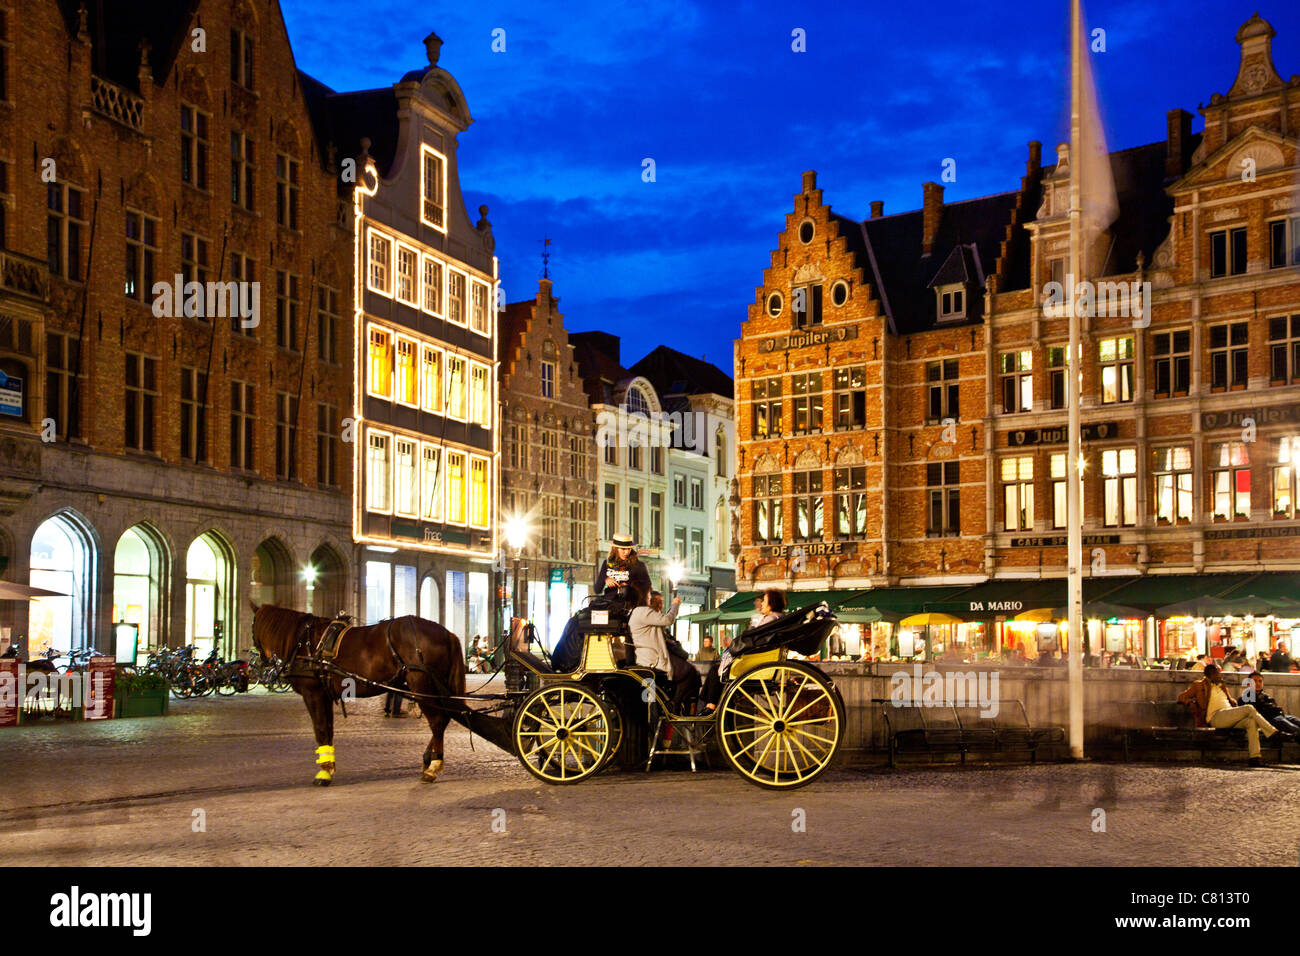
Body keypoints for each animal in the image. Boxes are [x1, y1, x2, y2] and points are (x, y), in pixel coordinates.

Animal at [250, 606, 470, 785]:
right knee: (443, 719)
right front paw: (329, 766)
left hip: (422, 686)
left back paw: (433, 766)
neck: (304, 642)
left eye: (252, 629)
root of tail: (448, 633)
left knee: (437, 721)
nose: (258, 661)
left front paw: (324, 773)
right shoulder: (325, 695)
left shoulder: (313, 693)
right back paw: (428, 760)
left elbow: (320, 729)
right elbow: (328, 729)